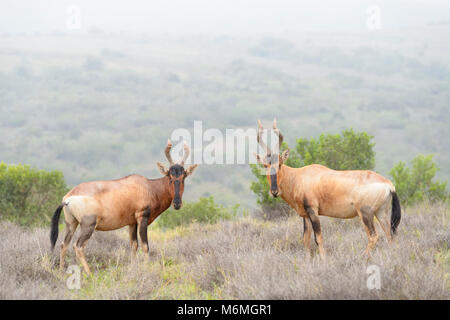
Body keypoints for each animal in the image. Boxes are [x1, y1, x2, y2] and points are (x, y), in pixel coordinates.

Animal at [49, 140, 197, 276]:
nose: (177, 204)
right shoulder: (142, 218)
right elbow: (145, 246)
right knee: (78, 246)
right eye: (170, 177)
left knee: (64, 244)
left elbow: (134, 245)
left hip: (71, 223)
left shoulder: (132, 223)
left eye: (183, 177)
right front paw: (145, 270)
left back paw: (61, 273)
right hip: (88, 225)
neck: (148, 187)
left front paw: (133, 269)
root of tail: (68, 198)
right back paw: (90, 274)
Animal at [255, 119, 402, 258]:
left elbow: (318, 239)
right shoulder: (305, 215)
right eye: (265, 166)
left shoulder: (313, 211)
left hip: (365, 213)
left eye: (280, 164)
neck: (299, 176)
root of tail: (389, 184)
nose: (274, 191)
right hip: (381, 212)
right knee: (389, 235)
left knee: (373, 236)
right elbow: (305, 239)